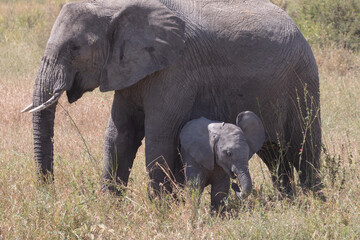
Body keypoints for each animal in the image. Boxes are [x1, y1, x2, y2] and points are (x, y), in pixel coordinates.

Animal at [22, 0, 320, 195]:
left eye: (74, 48)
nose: (49, 193)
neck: (116, 7)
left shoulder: (175, 69)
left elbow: (159, 137)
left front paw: (160, 210)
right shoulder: (128, 69)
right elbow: (119, 136)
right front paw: (110, 208)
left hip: (302, 78)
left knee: (305, 147)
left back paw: (314, 202)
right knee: (275, 154)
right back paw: (288, 201)